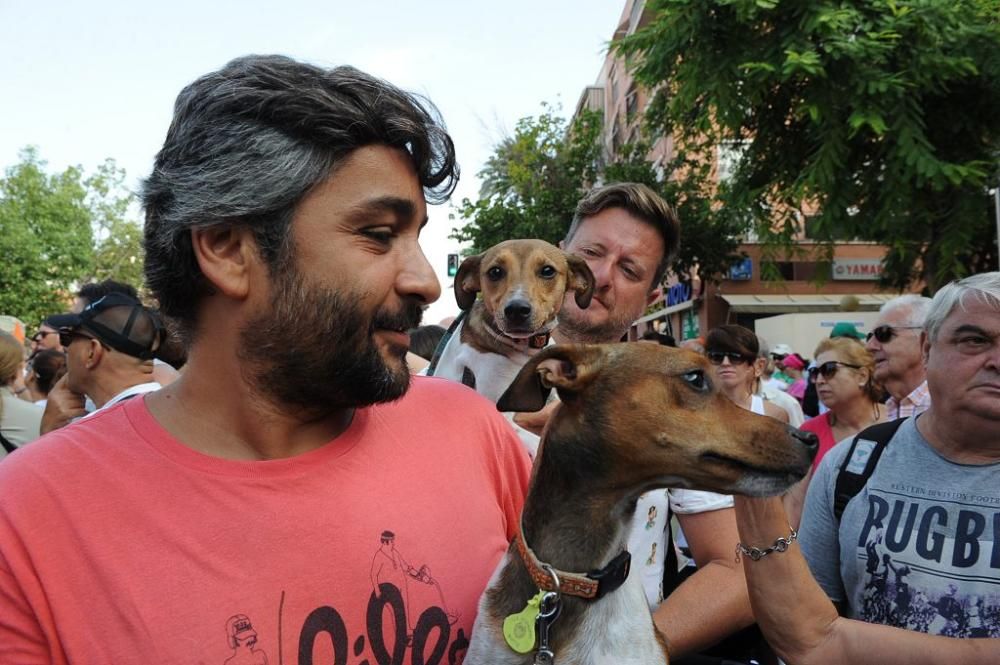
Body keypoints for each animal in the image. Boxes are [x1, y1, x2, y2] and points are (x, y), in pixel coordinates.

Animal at [428, 241, 592, 454]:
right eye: (495, 272)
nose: (516, 310)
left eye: (547, 271)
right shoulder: (500, 412)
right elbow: (538, 442)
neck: (526, 351)